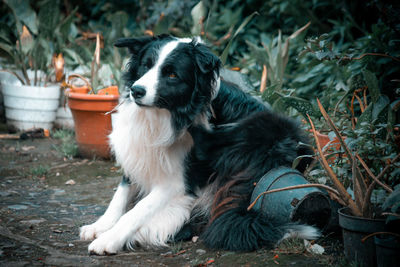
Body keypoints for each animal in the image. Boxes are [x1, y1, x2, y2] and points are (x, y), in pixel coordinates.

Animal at [79, 34, 320, 255]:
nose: (136, 91)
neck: (166, 115)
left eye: (172, 74)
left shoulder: (179, 181)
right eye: (146, 66)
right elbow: (121, 192)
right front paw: (101, 225)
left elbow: (139, 208)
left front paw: (111, 238)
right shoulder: (139, 153)